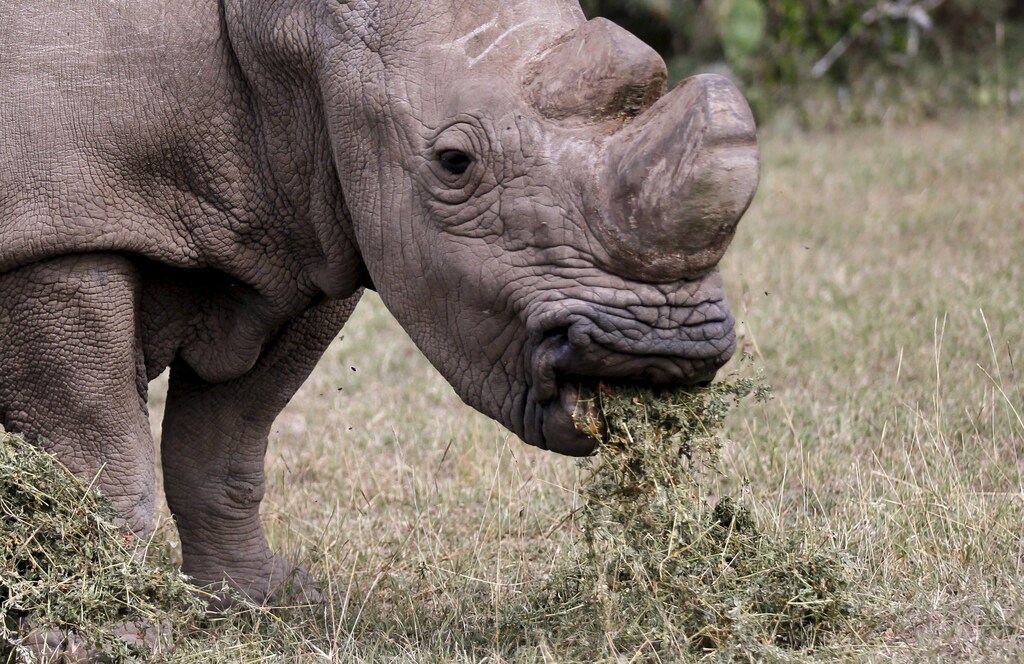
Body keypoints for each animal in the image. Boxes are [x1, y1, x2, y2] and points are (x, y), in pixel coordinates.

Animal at [0, 0, 758, 604]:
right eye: (454, 162)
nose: (661, 350)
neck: (298, 28)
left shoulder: (303, 223)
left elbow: (225, 441)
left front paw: (264, 601)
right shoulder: (55, 230)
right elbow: (99, 457)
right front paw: (111, 617)